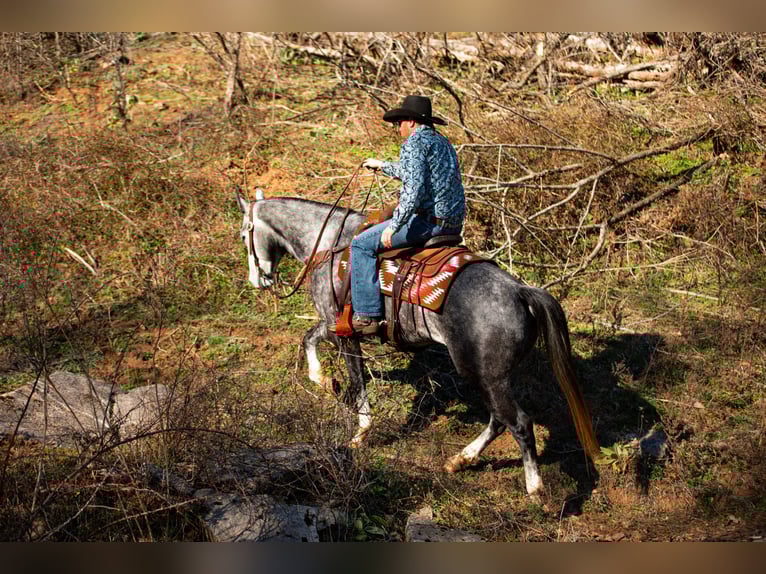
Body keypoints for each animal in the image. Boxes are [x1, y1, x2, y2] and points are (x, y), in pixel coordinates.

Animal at [236, 189, 599, 496]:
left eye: (243, 235)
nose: (256, 280)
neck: (329, 243)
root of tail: (520, 291)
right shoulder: (332, 325)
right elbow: (308, 338)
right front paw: (322, 379)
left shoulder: (343, 330)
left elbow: (356, 381)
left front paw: (360, 433)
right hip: (490, 376)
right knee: (499, 420)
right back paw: (461, 459)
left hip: (484, 374)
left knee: (518, 423)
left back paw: (534, 489)